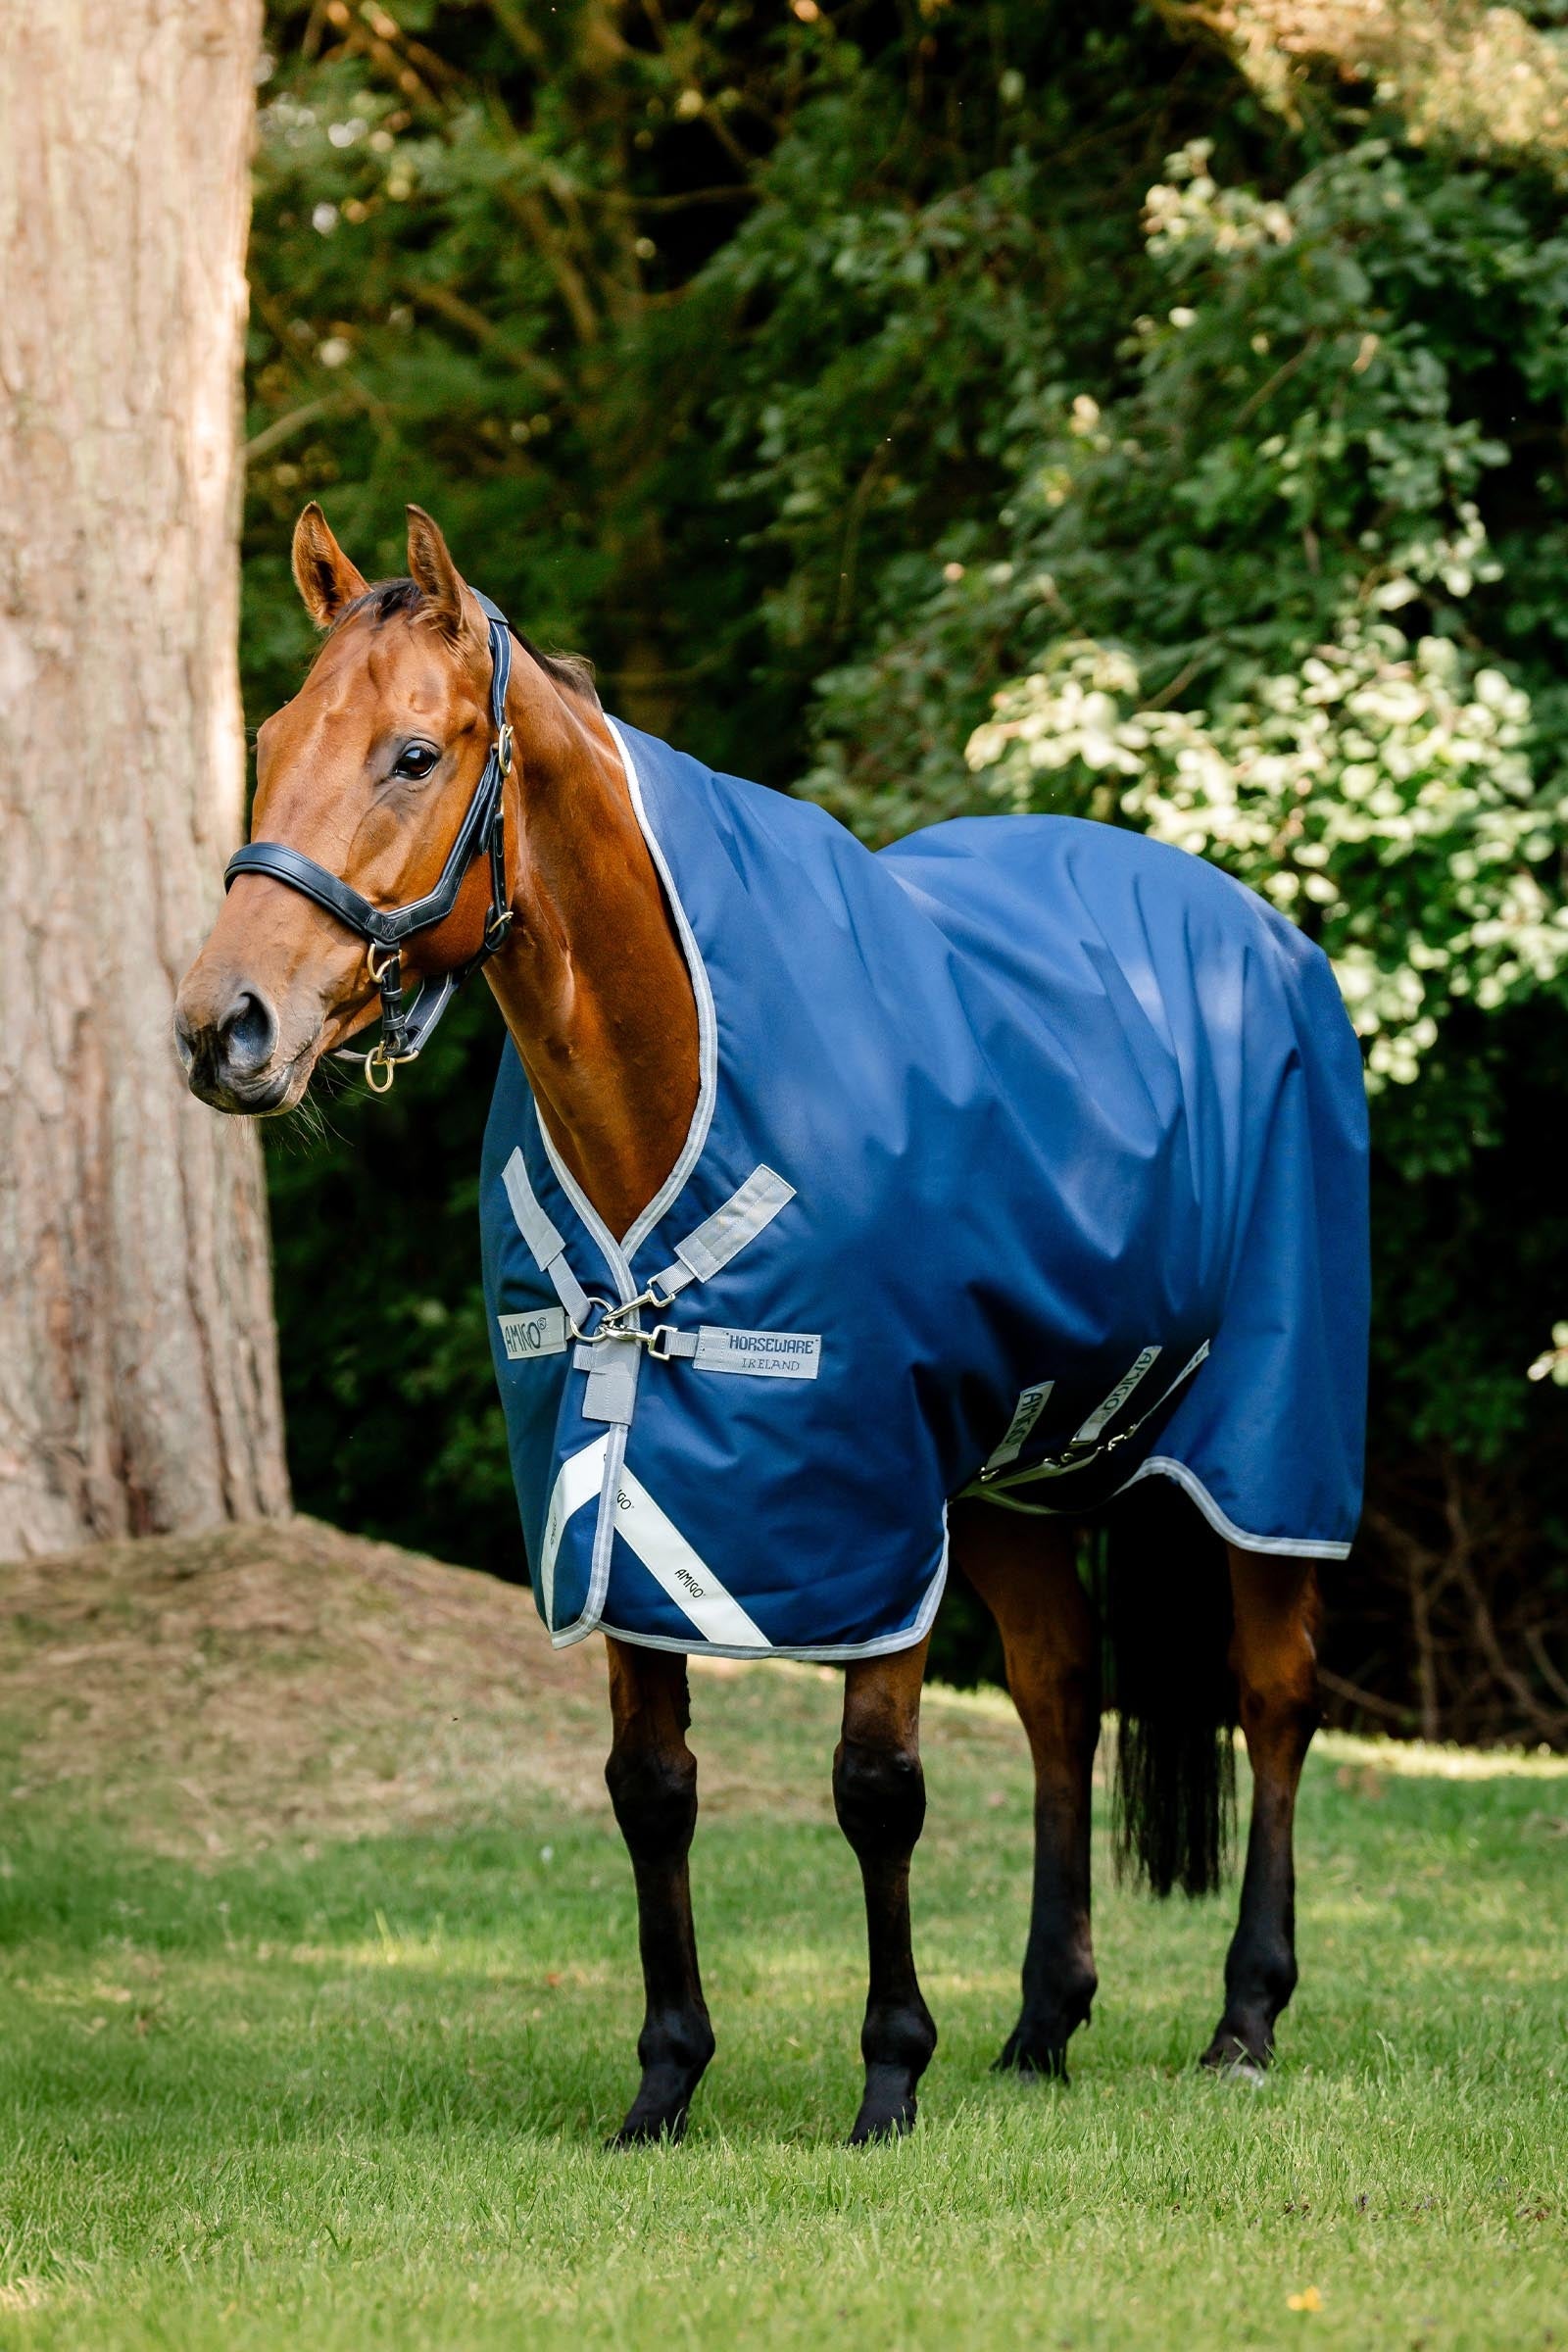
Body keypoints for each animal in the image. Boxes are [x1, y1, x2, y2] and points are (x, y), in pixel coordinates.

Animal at [175, 503, 1361, 2146]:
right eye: (275, 737)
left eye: (414, 754)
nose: (223, 1029)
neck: (677, 1073)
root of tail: (1263, 936)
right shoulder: (608, 1494)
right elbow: (651, 1785)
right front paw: (665, 2082)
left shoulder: (869, 1503)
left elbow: (878, 1789)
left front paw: (889, 2077)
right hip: (1007, 1478)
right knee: (1063, 1697)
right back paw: (1041, 2028)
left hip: (1265, 1446)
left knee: (1275, 1697)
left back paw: (1245, 2016)